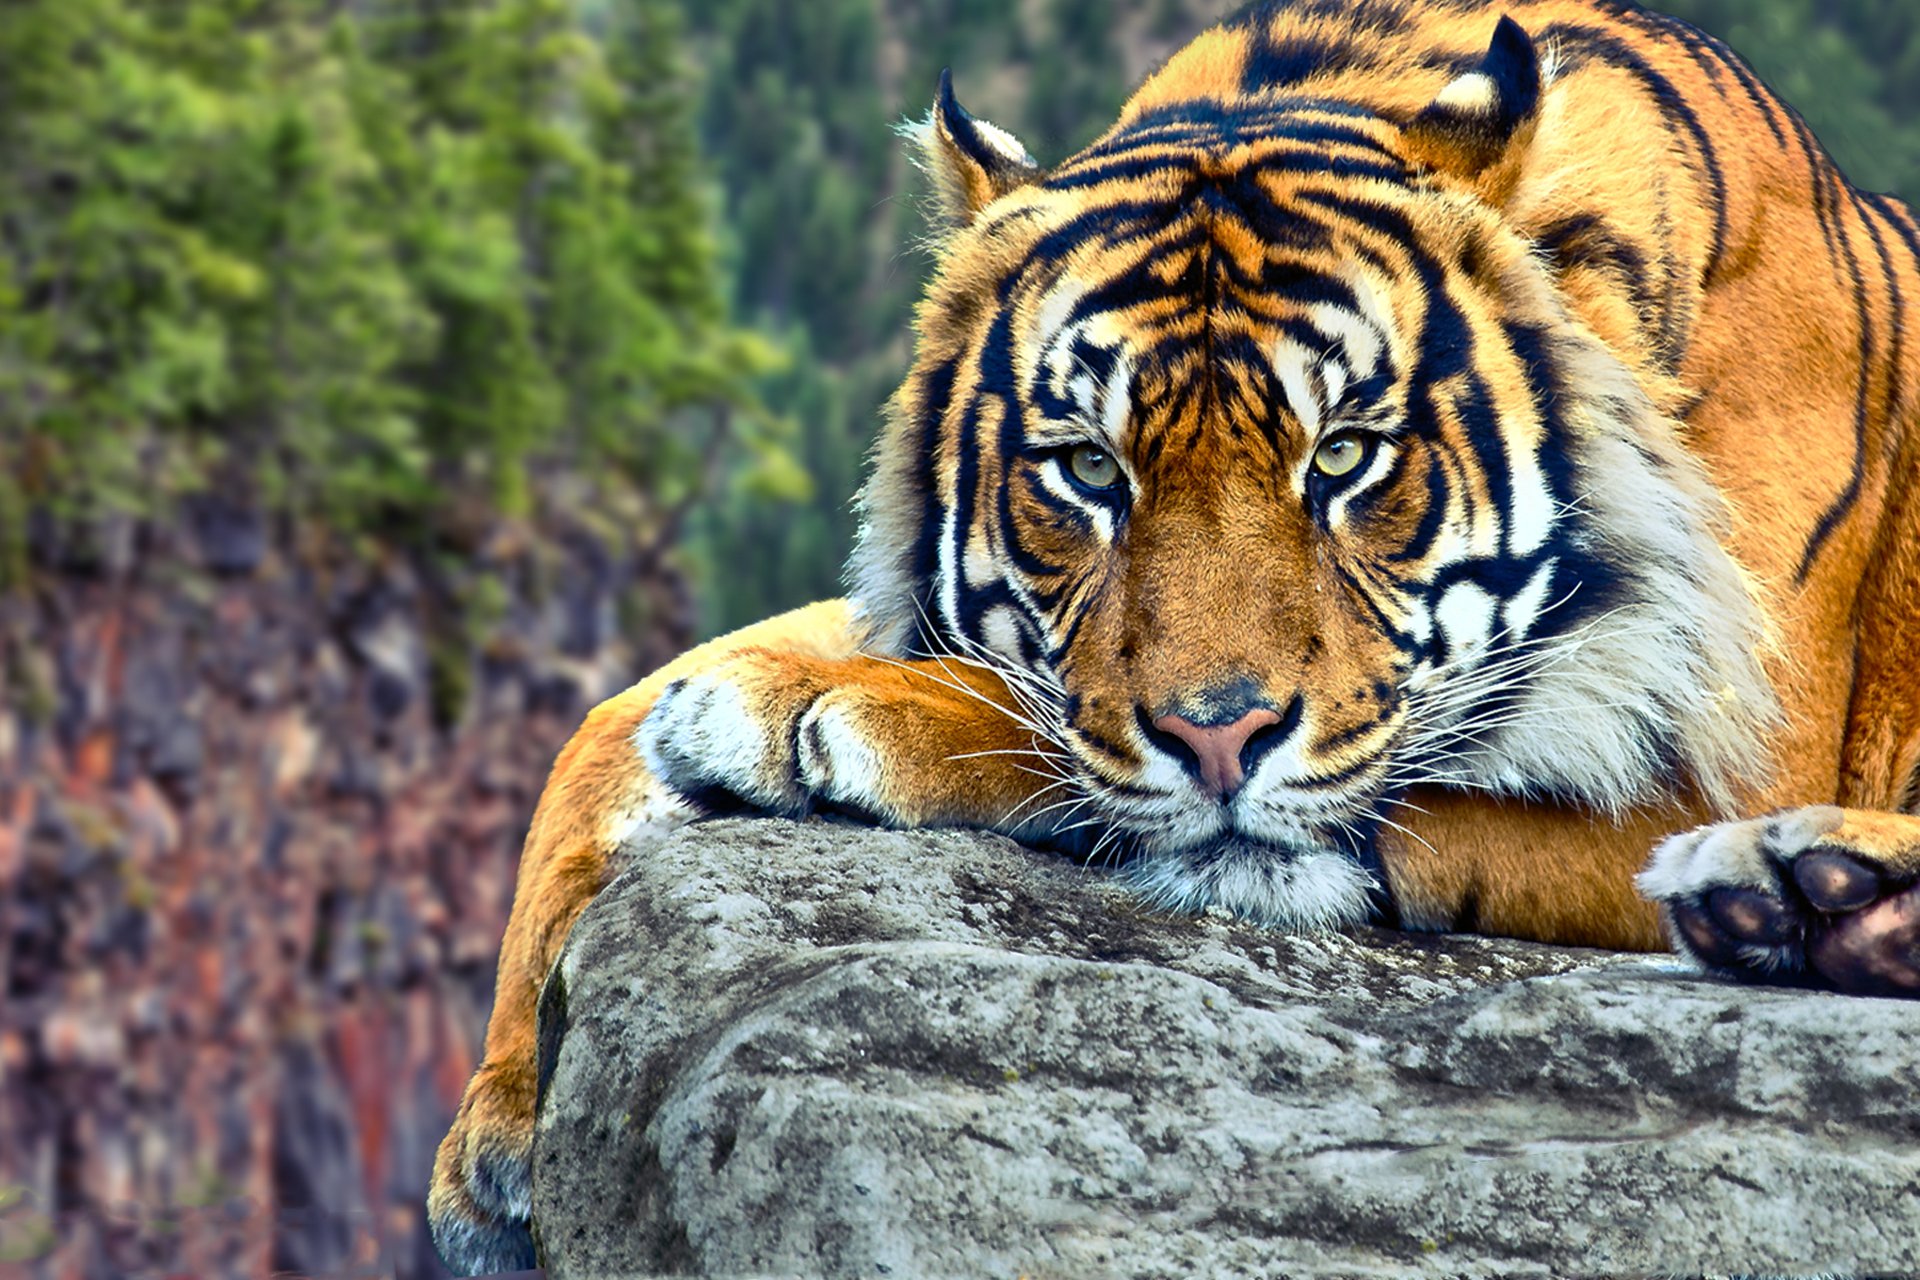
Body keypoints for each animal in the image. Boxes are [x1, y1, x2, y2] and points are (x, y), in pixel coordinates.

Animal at [429, 0, 1920, 1271]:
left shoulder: (1728, 747)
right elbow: (608, 713)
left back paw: (1804, 889)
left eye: (1346, 455)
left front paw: (811, 711)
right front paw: (499, 1122)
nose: (1222, 738)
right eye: (1091, 468)